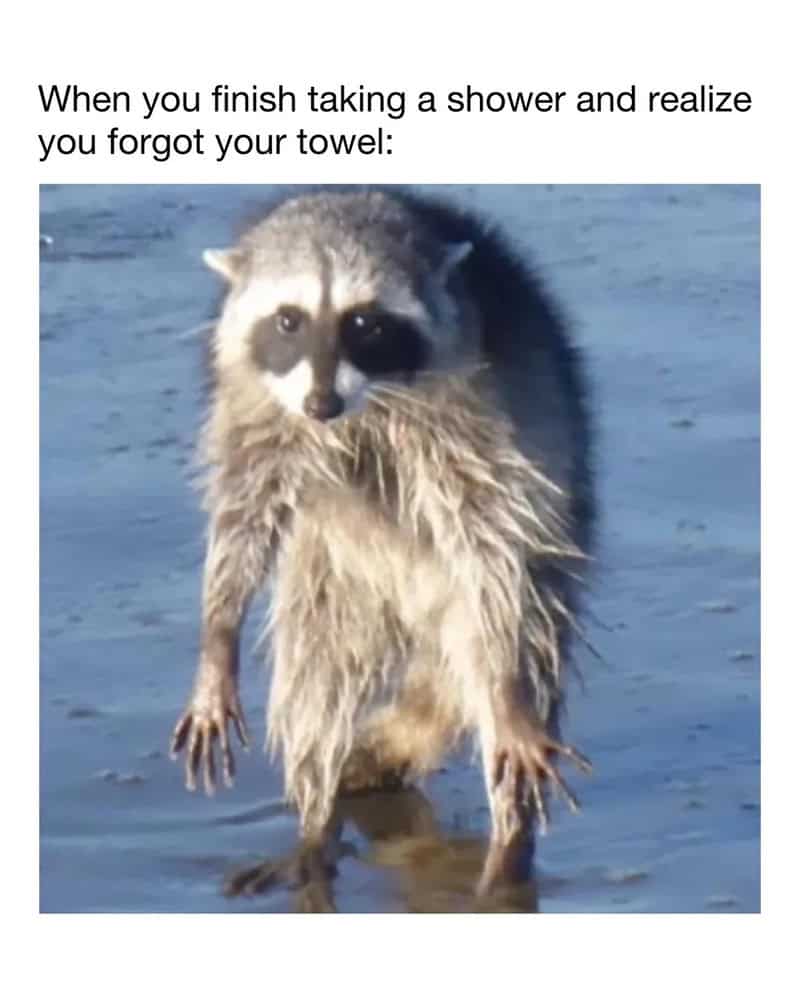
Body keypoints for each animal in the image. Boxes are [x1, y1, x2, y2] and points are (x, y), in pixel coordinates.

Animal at [171, 187, 595, 898]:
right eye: (288, 320)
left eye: (365, 322)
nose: (319, 403)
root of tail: (420, 616)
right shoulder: (250, 408)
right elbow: (242, 518)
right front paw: (217, 632)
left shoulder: (477, 417)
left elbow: (491, 542)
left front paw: (508, 698)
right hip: (334, 582)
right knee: (315, 680)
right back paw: (315, 825)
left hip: (535, 566)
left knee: (509, 638)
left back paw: (508, 845)